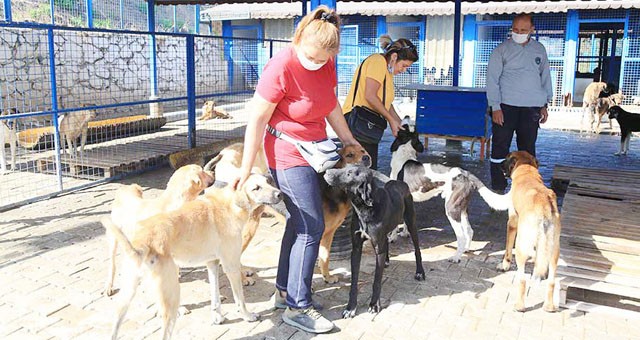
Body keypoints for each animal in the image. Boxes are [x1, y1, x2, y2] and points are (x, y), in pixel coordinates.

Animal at [103, 161, 218, 296]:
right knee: (112, 264)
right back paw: (109, 286)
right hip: (113, 239)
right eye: (202, 170)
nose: (213, 171)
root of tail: (125, 189)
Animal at [324, 165, 424, 318]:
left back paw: (420, 272)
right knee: (387, 243)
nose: (326, 172)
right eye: (346, 167)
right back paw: (387, 261)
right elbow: (354, 281)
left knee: (417, 249)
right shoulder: (356, 248)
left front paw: (374, 305)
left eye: (349, 173)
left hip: (411, 222)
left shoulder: (378, 246)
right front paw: (350, 307)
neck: (364, 208)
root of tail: (399, 182)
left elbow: (377, 280)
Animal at [490, 151, 560, 314]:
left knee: (522, 280)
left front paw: (504, 265)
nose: (499, 164)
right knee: (552, 282)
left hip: (521, 246)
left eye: (507, 157)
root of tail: (544, 206)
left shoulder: (512, 223)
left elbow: (507, 250)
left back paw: (519, 305)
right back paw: (549, 306)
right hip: (554, 250)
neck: (527, 170)